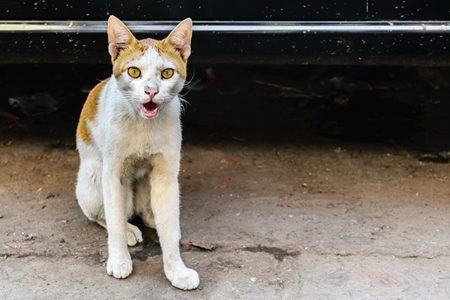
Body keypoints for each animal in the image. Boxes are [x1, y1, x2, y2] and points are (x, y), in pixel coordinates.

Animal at [75, 15, 199, 290]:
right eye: (134, 72)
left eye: (166, 73)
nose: (151, 91)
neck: (144, 124)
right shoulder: (112, 175)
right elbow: (114, 220)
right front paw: (119, 259)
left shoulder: (166, 176)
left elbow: (169, 225)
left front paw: (176, 270)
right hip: (94, 178)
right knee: (103, 214)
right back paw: (130, 229)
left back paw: (154, 218)